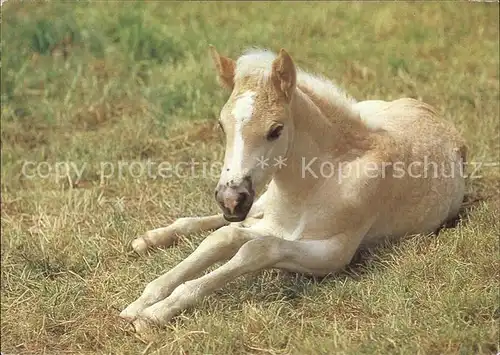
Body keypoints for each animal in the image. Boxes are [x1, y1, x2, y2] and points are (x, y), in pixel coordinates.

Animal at [120, 46, 464, 332]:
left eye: (276, 130)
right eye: (221, 125)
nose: (231, 199)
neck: (314, 187)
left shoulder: (333, 254)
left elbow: (255, 248)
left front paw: (154, 313)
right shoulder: (269, 222)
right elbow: (223, 237)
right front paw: (142, 302)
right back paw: (151, 238)